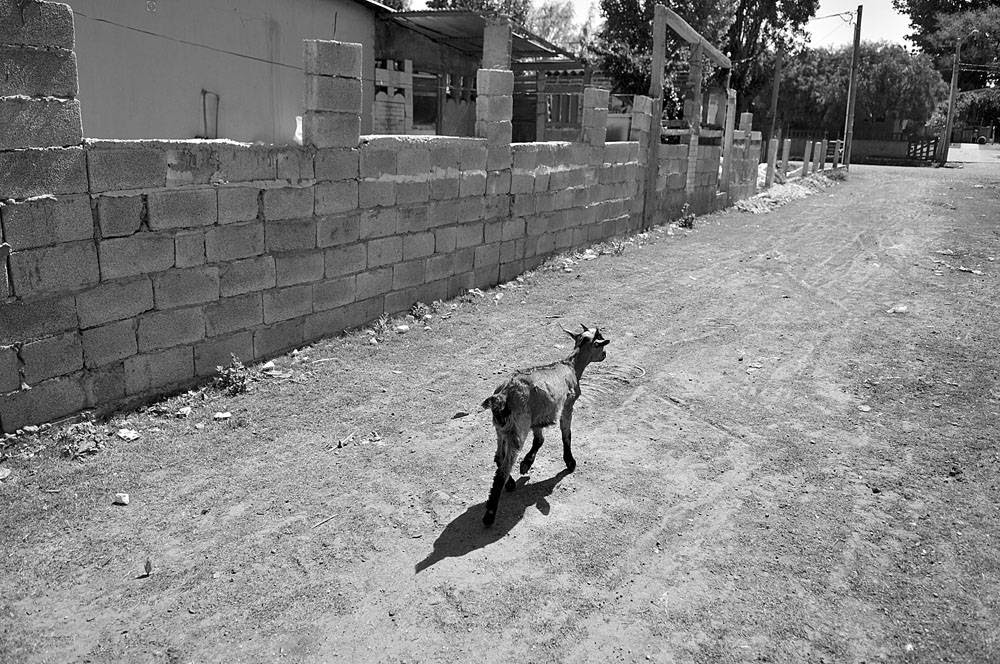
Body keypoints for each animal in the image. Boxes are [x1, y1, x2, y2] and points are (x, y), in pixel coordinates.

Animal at [478, 324, 608, 528]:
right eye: (600, 343)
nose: (605, 354)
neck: (570, 365)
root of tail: (502, 395)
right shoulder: (567, 405)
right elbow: (566, 434)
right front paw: (570, 462)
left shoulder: (538, 417)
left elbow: (539, 440)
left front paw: (526, 463)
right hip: (518, 429)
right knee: (503, 470)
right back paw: (490, 514)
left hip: (501, 429)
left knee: (499, 458)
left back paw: (511, 483)